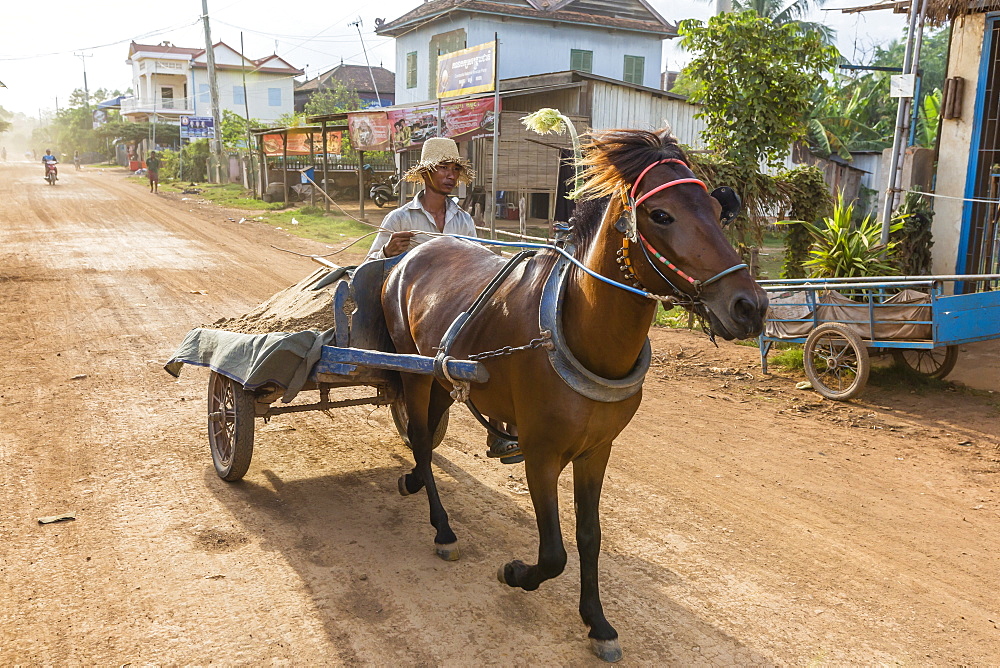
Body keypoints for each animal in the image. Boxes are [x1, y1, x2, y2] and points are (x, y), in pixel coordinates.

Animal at [380, 128, 764, 660]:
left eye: (715, 207)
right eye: (661, 215)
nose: (750, 306)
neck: (578, 327)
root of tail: (413, 251)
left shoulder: (597, 450)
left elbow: (589, 537)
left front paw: (598, 622)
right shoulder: (541, 453)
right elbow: (553, 553)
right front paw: (516, 573)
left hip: (440, 375)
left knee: (427, 440)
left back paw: (416, 481)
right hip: (412, 370)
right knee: (419, 437)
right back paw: (442, 526)